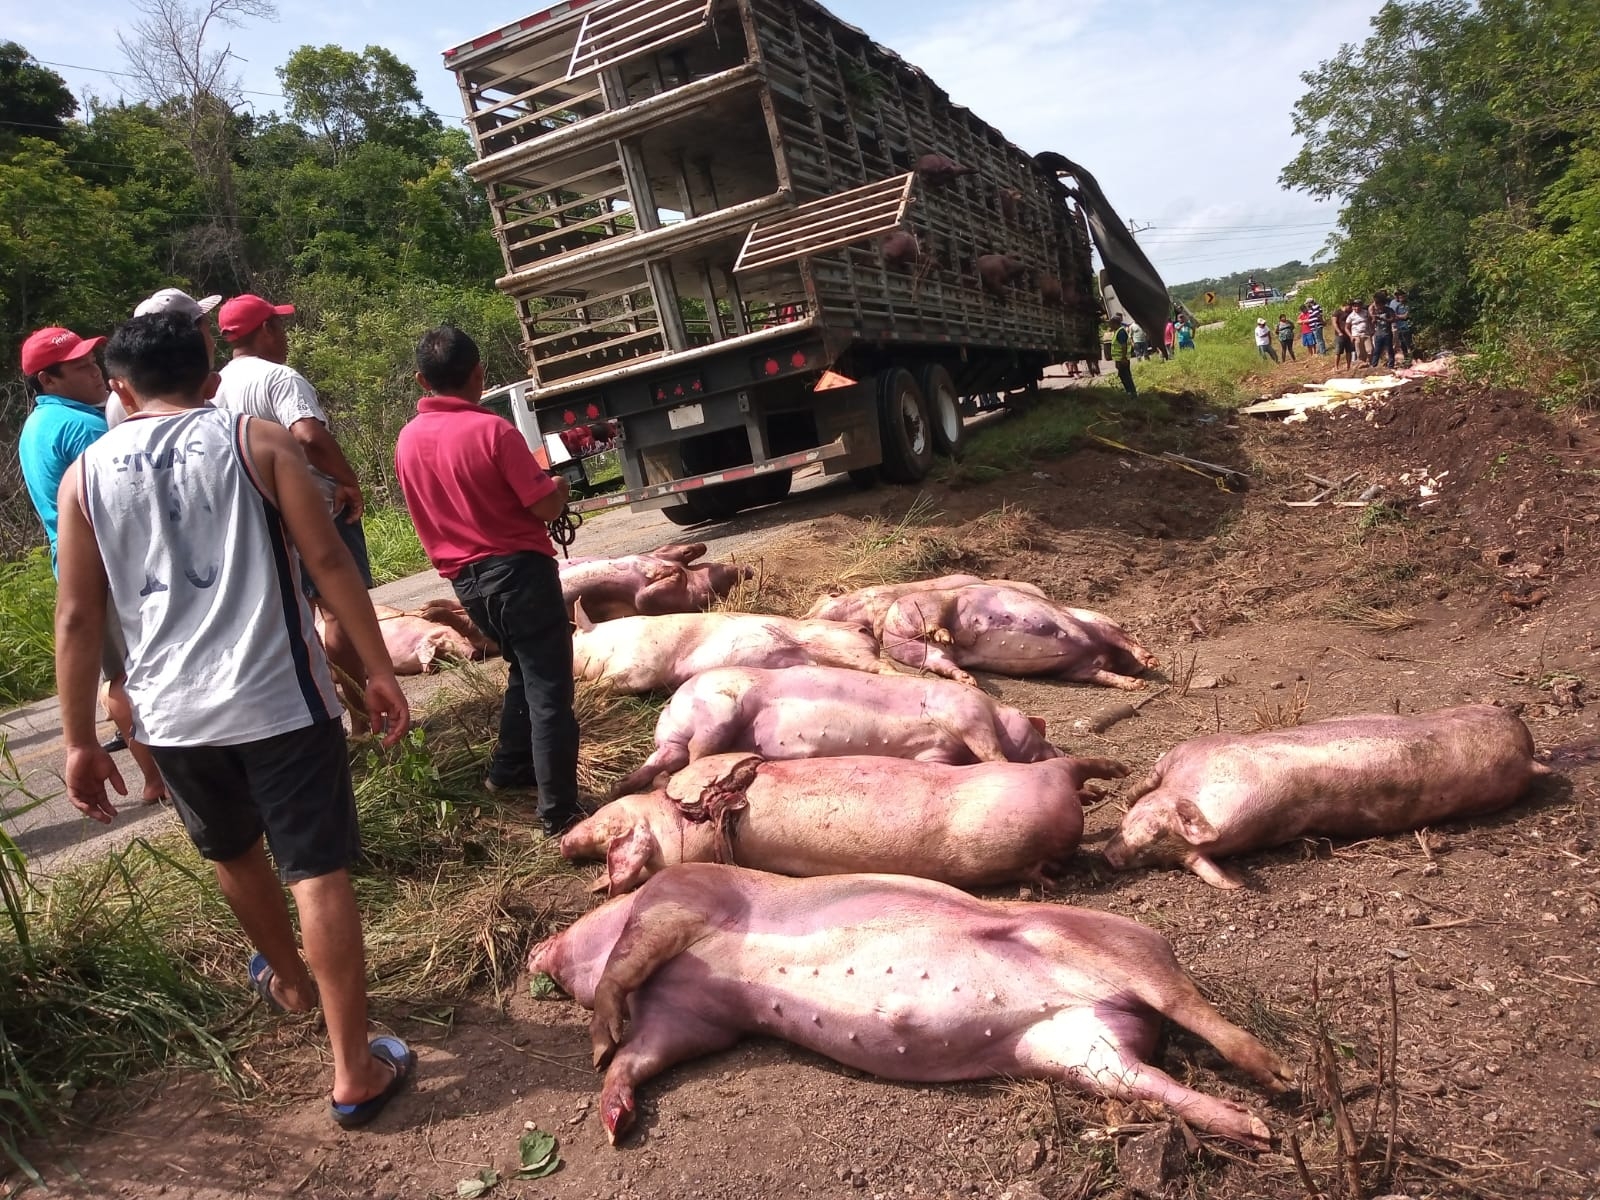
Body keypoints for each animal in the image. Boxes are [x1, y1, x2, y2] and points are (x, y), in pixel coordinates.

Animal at [531, 870, 1292, 1152]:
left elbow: (625, 960)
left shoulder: (684, 896)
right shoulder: (696, 1018)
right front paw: (613, 1120)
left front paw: (597, 1042)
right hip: (1074, 1052)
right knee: (1155, 1084)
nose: (538, 948)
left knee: (1190, 1002)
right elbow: (641, 1055)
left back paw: (1282, 1081)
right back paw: (1256, 1130)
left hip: (1115, 950)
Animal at [1100, 704, 1548, 896]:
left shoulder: (1198, 749)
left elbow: (1147, 778)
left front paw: (1127, 793)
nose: (1112, 858)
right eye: (1160, 861)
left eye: (1156, 835)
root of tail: (1530, 754)